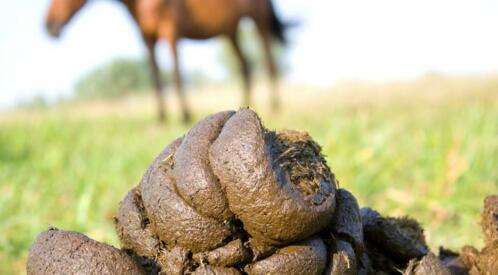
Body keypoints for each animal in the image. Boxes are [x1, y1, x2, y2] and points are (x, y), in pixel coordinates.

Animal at [46, 0, 288, 123]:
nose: (48, 25)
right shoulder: (147, 39)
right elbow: (155, 76)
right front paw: (161, 117)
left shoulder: (170, 30)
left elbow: (175, 73)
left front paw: (184, 115)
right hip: (229, 30)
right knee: (245, 66)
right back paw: (245, 104)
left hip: (259, 20)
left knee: (269, 63)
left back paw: (274, 107)